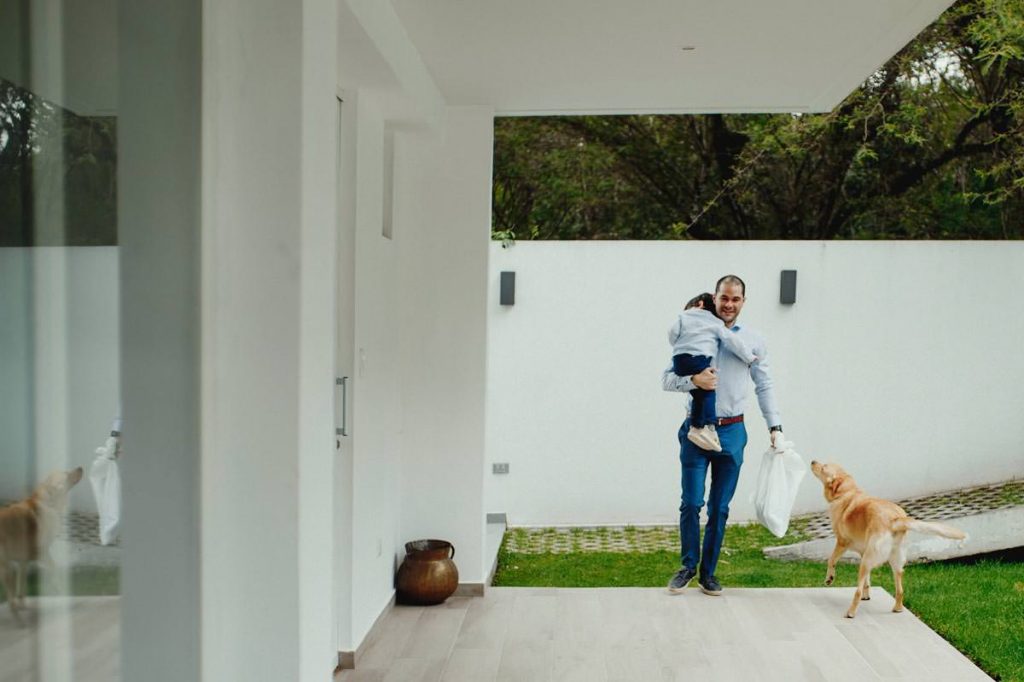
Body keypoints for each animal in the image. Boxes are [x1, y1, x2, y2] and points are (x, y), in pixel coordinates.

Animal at [0, 467, 83, 624]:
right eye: (66, 474)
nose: (81, 468)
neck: (49, 501)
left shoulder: (23, 561)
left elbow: (22, 586)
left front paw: (23, 605)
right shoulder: (43, 554)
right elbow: (56, 574)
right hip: (6, 568)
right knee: (10, 602)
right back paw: (19, 621)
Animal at [809, 460, 965, 618]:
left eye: (824, 467)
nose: (813, 461)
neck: (846, 492)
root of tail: (895, 519)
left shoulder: (842, 543)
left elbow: (831, 560)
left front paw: (829, 578)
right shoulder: (863, 553)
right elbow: (868, 581)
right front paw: (867, 595)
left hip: (867, 561)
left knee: (857, 590)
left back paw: (851, 612)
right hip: (892, 561)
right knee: (900, 589)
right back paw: (898, 608)